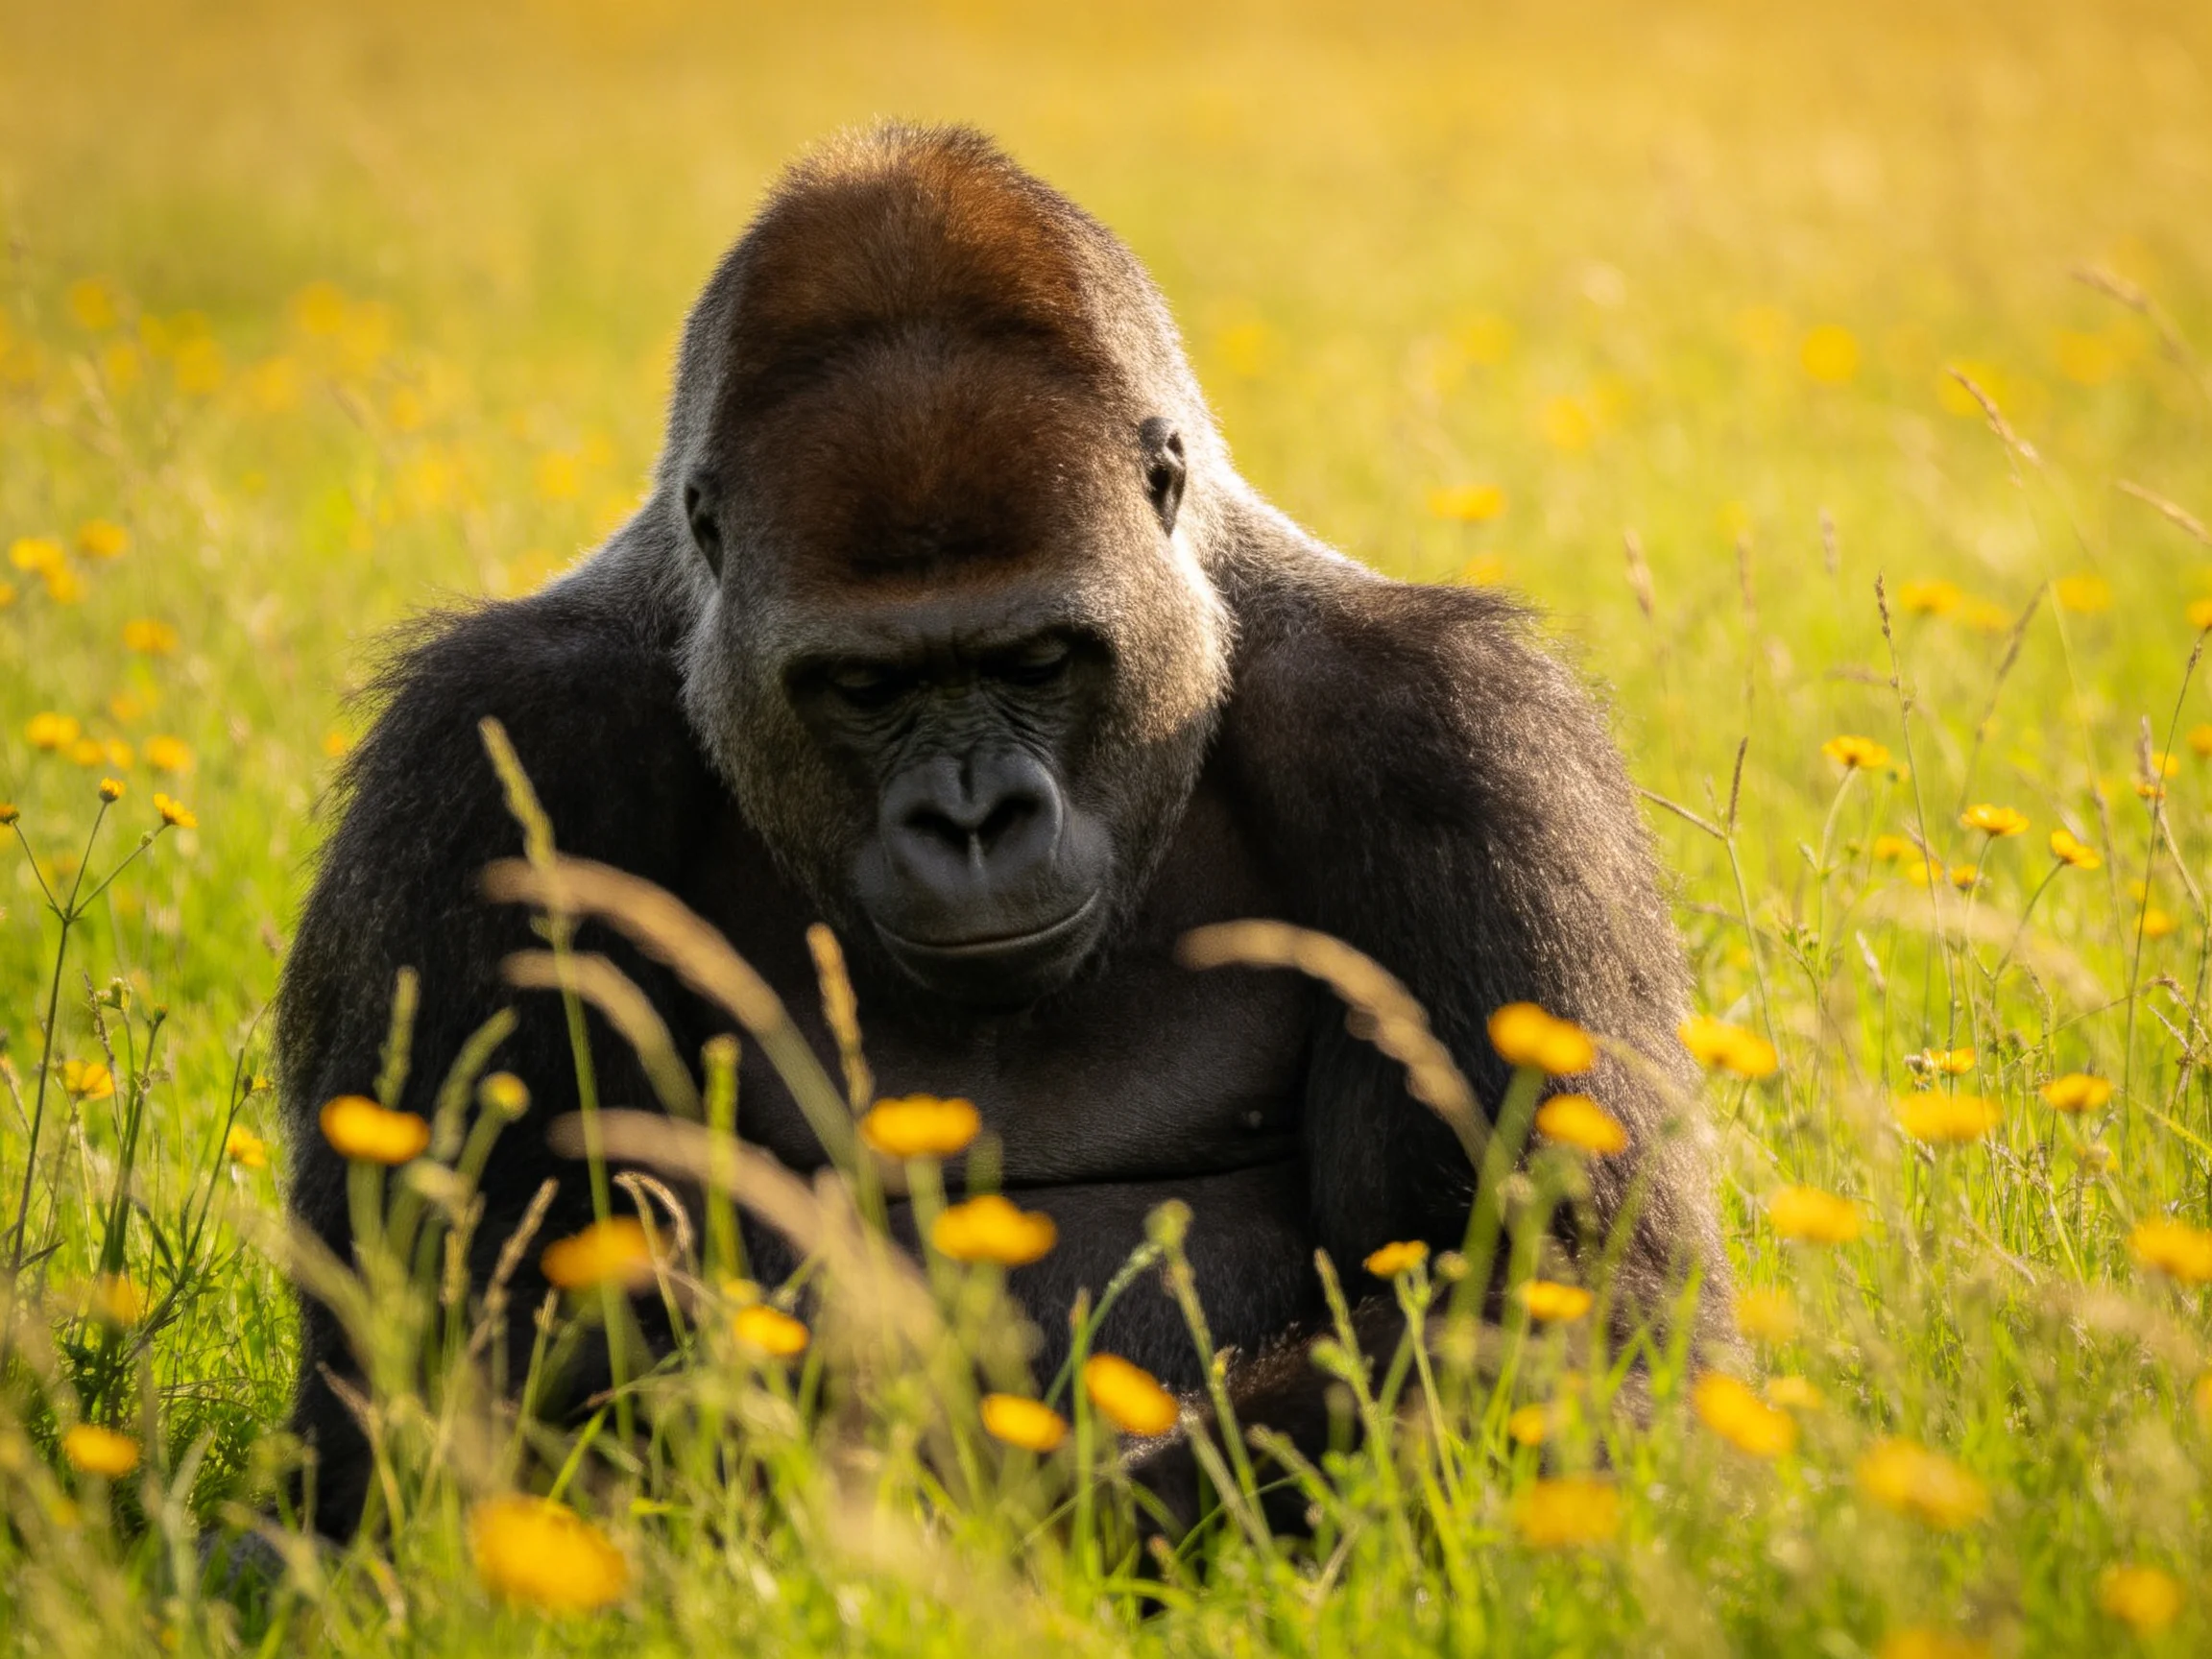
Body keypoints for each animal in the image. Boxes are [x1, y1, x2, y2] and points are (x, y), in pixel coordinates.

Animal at [275, 122, 1728, 1542]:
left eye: (1034, 661)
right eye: (868, 688)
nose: (971, 818)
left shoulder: (1454, 735)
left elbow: (1553, 1307)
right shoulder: (492, 748)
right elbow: (458, 1349)